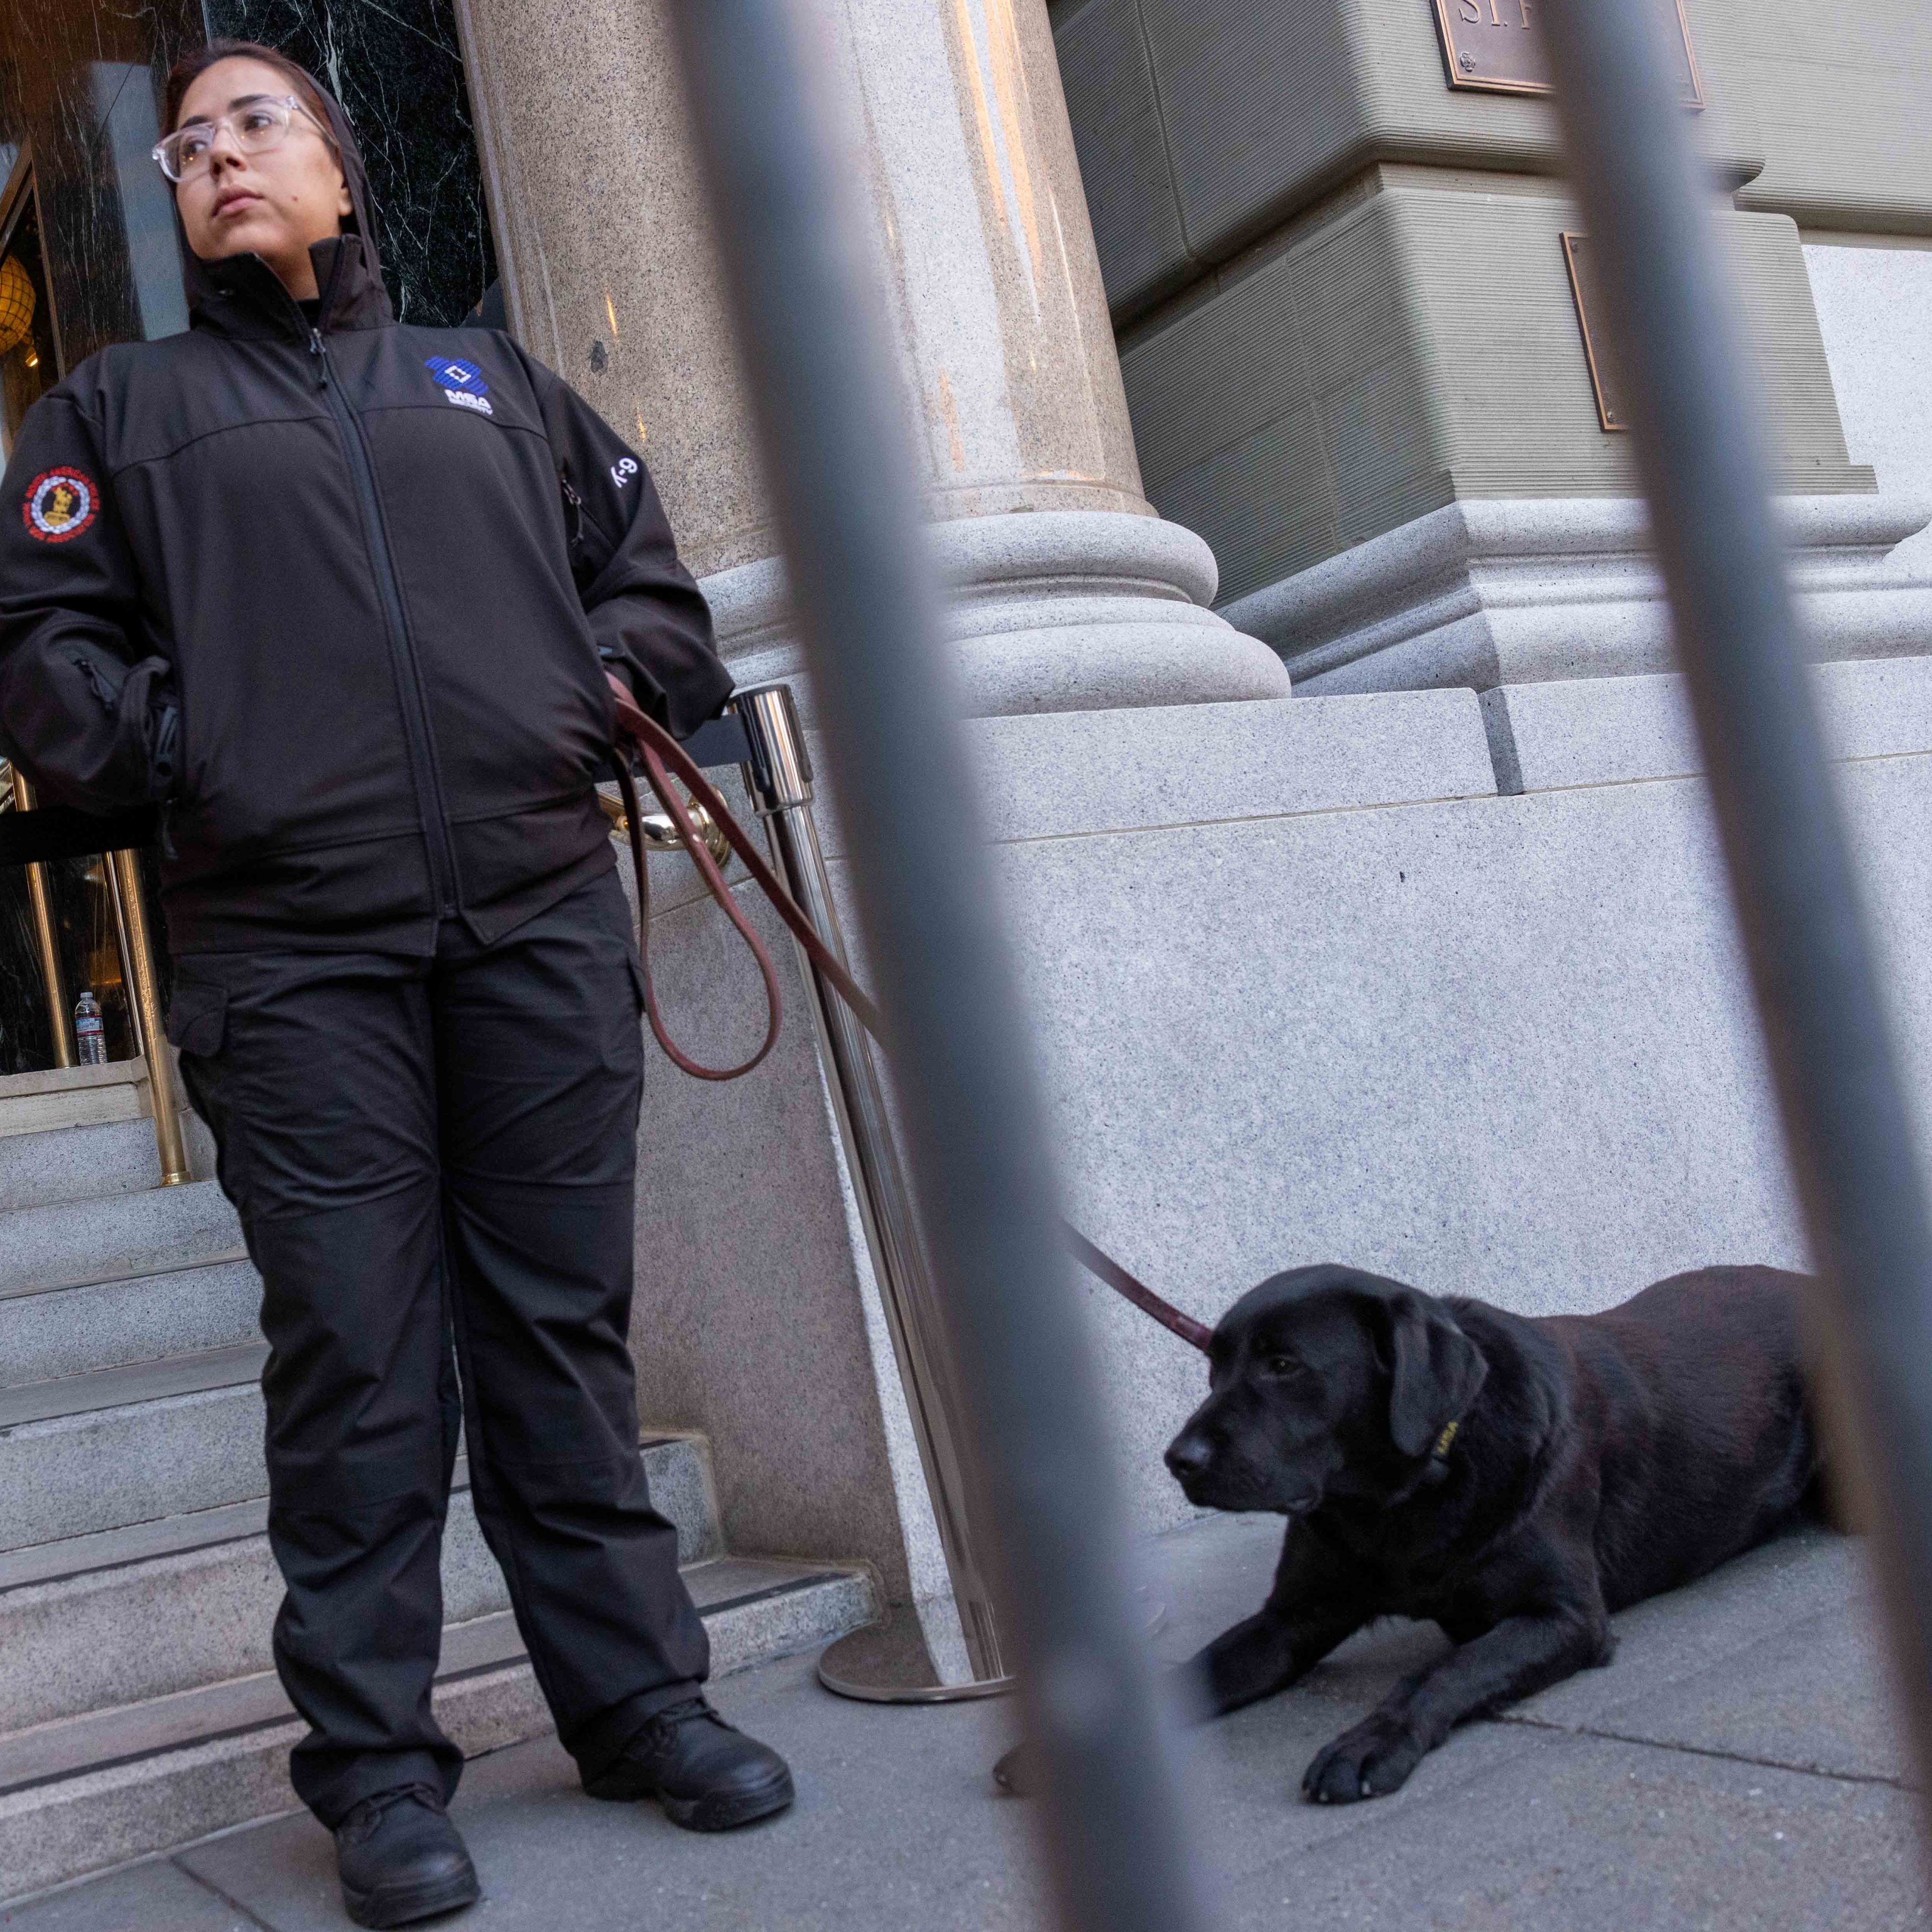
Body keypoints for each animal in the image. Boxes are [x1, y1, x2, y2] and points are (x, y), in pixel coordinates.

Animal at [997, 1259, 1823, 1800]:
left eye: (1283, 1365)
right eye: (1214, 1368)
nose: (1179, 1461)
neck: (1399, 1500)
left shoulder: (1564, 1616)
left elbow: (1445, 1671)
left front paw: (1371, 1743)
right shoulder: (1291, 1618)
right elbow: (1199, 1668)